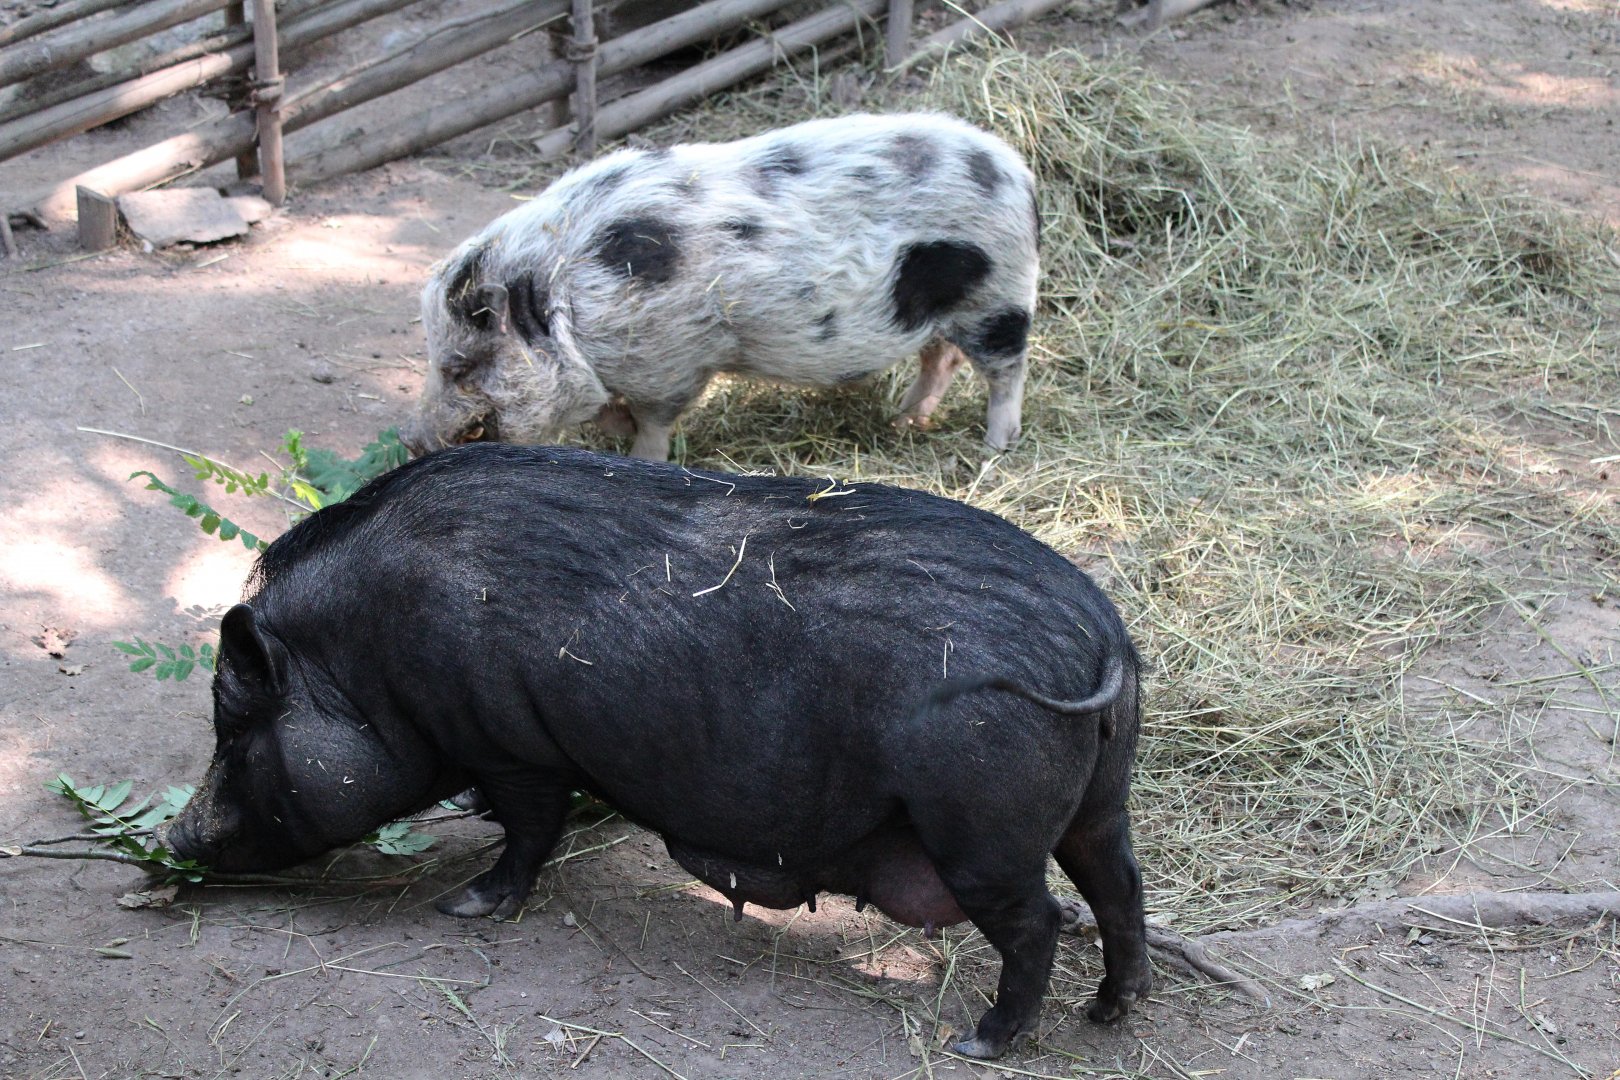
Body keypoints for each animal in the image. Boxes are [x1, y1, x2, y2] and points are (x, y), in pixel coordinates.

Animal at [166, 444, 1149, 1060]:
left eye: (235, 729)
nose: (175, 840)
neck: (362, 659)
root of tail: (1101, 638)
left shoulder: (512, 745)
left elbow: (529, 831)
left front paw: (466, 906)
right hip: (1098, 801)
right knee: (1117, 883)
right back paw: (1114, 1011)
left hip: (981, 823)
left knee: (1042, 919)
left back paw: (978, 1042)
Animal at [399, 112, 1041, 462]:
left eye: (460, 367)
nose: (411, 441)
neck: (570, 302)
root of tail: (1020, 175)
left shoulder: (672, 358)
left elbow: (655, 423)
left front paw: (641, 452)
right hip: (939, 309)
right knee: (940, 358)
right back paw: (904, 422)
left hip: (999, 297)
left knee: (1006, 370)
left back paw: (995, 446)